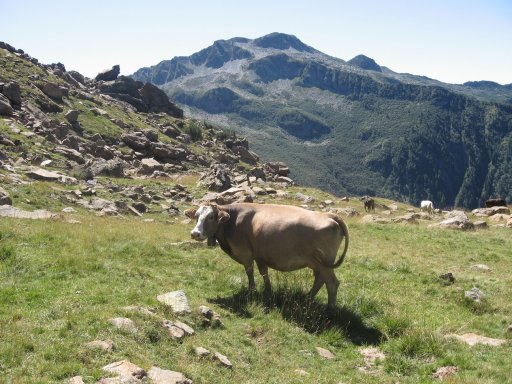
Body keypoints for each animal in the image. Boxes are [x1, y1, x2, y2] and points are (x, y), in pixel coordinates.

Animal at [186, 202, 350, 308]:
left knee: (332, 283)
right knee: (320, 280)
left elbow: (250, 272)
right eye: (196, 215)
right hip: (318, 264)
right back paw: (307, 299)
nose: (195, 233)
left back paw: (330, 310)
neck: (232, 221)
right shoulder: (260, 255)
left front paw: (252, 291)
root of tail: (329, 215)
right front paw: (268, 291)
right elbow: (264, 273)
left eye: (211, 217)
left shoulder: (246, 254)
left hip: (324, 263)